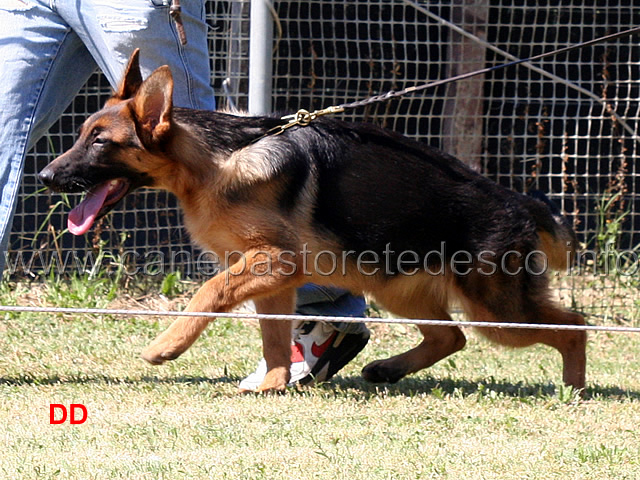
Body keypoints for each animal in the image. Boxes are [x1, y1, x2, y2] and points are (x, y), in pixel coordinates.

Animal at [38, 49, 584, 394]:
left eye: (100, 142)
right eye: (82, 135)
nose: (43, 176)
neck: (215, 162)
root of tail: (519, 202)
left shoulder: (272, 262)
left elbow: (208, 293)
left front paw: (166, 346)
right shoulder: (272, 277)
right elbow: (274, 337)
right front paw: (274, 385)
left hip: (496, 312)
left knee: (573, 326)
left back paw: (574, 389)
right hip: (400, 289)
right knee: (451, 337)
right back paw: (388, 369)